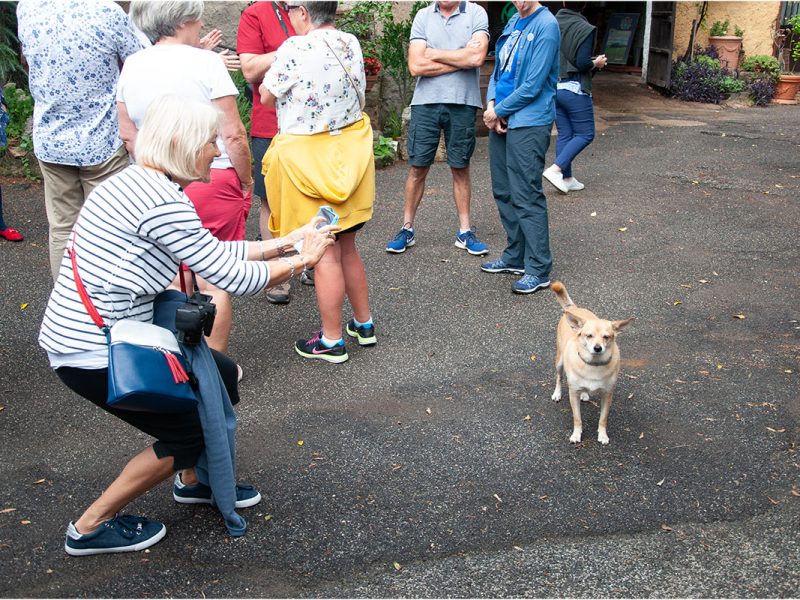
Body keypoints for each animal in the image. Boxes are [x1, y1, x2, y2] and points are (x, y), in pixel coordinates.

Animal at [548, 282, 636, 446]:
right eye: (589, 336)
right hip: (559, 362)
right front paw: (576, 435)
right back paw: (557, 393)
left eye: (606, 337)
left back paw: (585, 394)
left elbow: (603, 419)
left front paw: (603, 435)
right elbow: (577, 418)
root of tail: (573, 308)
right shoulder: (573, 394)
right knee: (559, 377)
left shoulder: (607, 395)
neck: (593, 365)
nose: (597, 348)